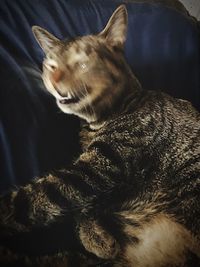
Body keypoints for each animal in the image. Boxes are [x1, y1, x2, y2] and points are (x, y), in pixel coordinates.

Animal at [0, 4, 200, 267]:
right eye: (50, 65)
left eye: (83, 61)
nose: (53, 80)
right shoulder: (97, 172)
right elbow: (84, 206)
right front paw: (95, 236)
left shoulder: (101, 165)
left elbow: (34, 198)